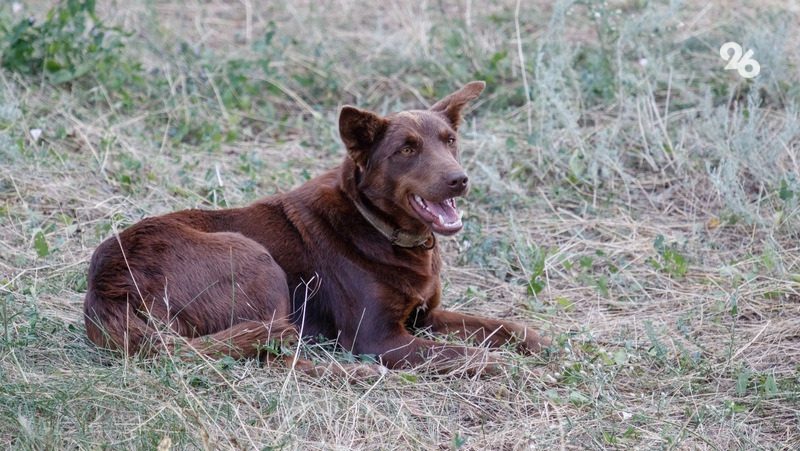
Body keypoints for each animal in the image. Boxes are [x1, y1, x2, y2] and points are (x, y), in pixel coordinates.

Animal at [83, 80, 552, 374]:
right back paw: (360, 377)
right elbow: (457, 353)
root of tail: (107, 289)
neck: (382, 230)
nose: (459, 179)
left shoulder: (426, 315)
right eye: (406, 150)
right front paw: (503, 369)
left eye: (450, 141)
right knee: (274, 357)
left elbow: (501, 326)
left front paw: (543, 345)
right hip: (254, 259)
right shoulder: (379, 338)